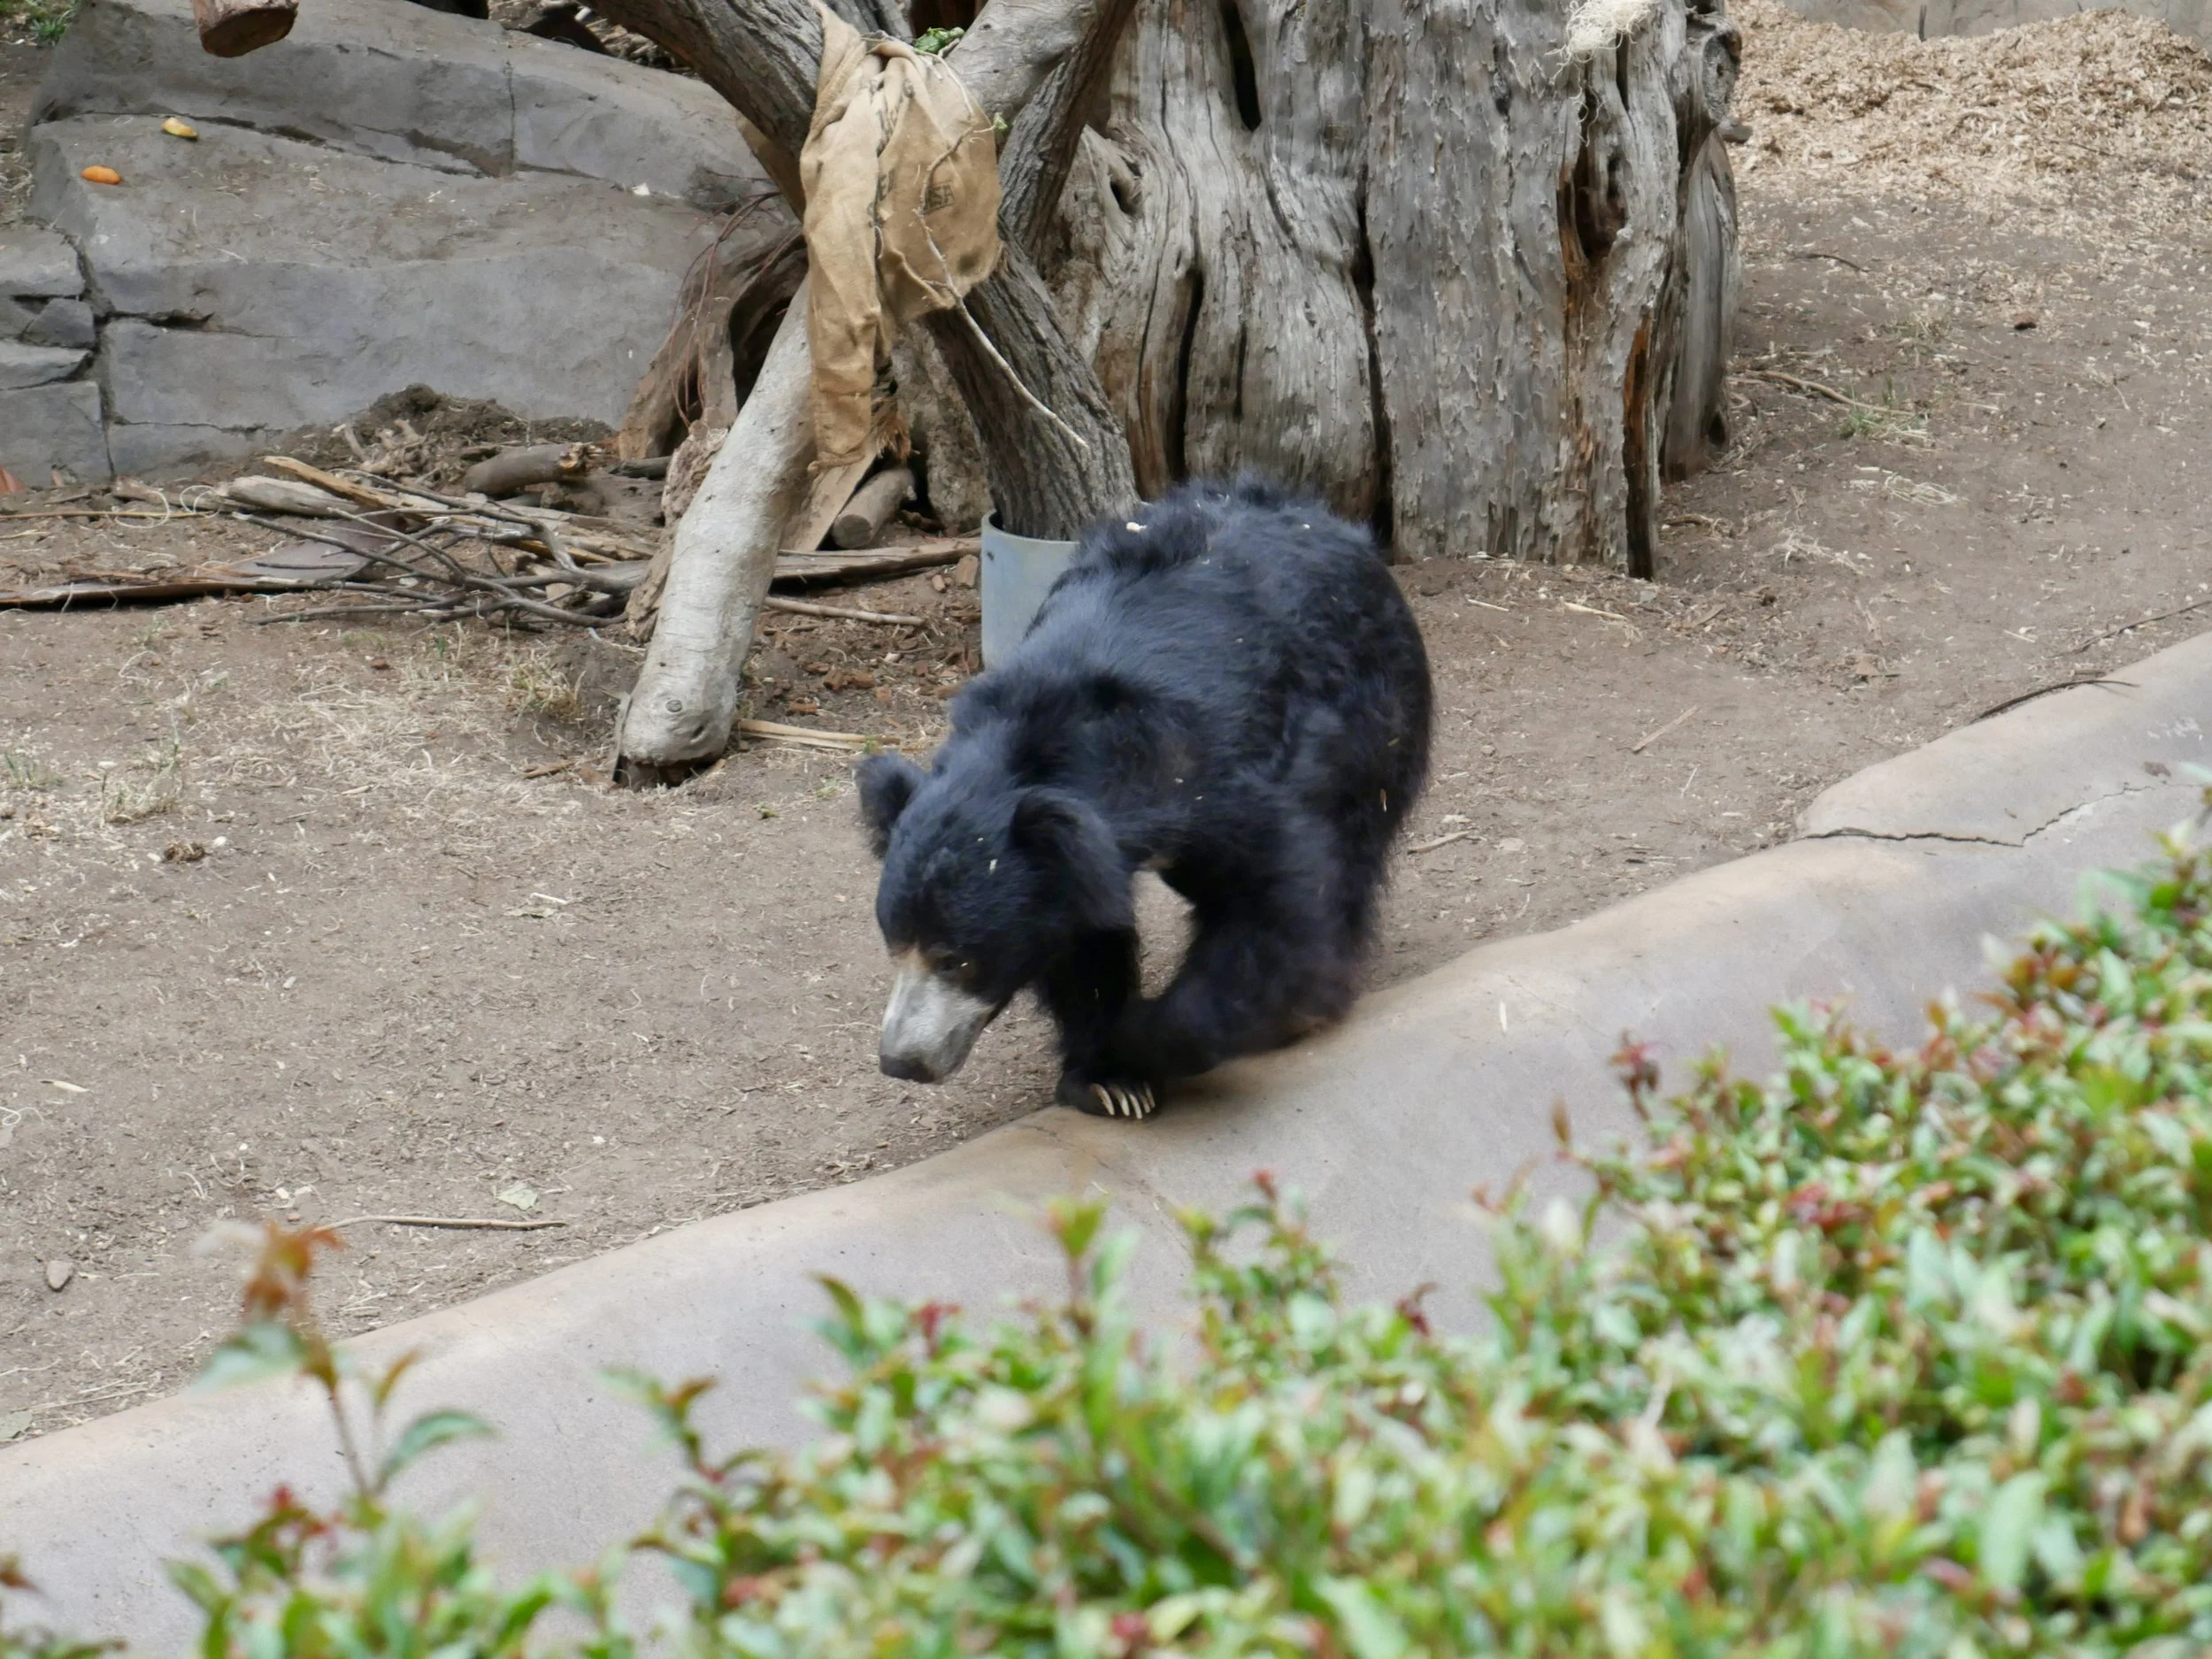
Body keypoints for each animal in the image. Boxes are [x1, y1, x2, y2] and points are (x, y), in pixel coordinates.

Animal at [854, 475, 1433, 1120]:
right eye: (895, 943)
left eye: (957, 957)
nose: (902, 1061)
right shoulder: (1070, 867)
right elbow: (1082, 941)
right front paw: (1108, 1081)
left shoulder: (1235, 780)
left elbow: (1273, 912)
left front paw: (1141, 1041)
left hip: (1376, 717)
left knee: (1353, 852)